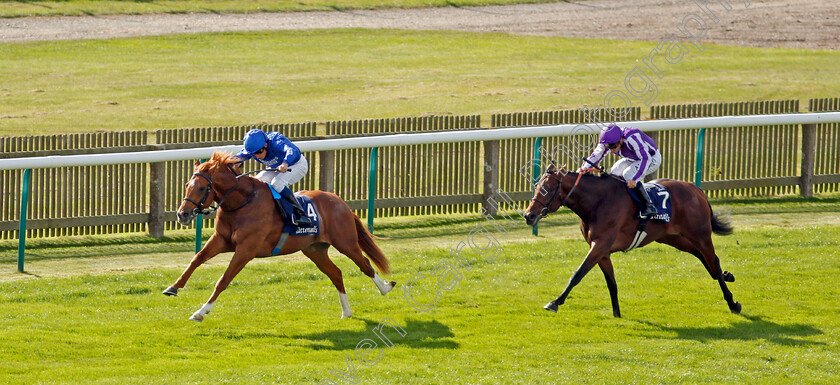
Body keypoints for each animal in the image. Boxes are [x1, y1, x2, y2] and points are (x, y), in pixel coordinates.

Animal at [168, 152, 400, 320]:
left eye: (201, 188)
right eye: (187, 185)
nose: (182, 214)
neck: (242, 203)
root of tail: (341, 203)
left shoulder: (246, 249)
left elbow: (223, 279)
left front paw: (201, 312)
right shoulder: (221, 240)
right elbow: (197, 259)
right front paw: (173, 287)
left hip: (346, 243)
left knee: (365, 265)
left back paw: (386, 288)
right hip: (314, 250)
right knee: (336, 273)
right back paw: (346, 312)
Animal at [524, 165, 740, 318]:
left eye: (548, 189)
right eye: (536, 187)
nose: (528, 215)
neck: (597, 203)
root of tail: (695, 188)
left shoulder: (600, 245)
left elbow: (577, 274)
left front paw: (555, 302)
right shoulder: (603, 251)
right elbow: (611, 283)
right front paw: (617, 314)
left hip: (700, 235)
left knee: (712, 260)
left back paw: (732, 302)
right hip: (672, 237)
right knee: (704, 258)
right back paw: (726, 275)